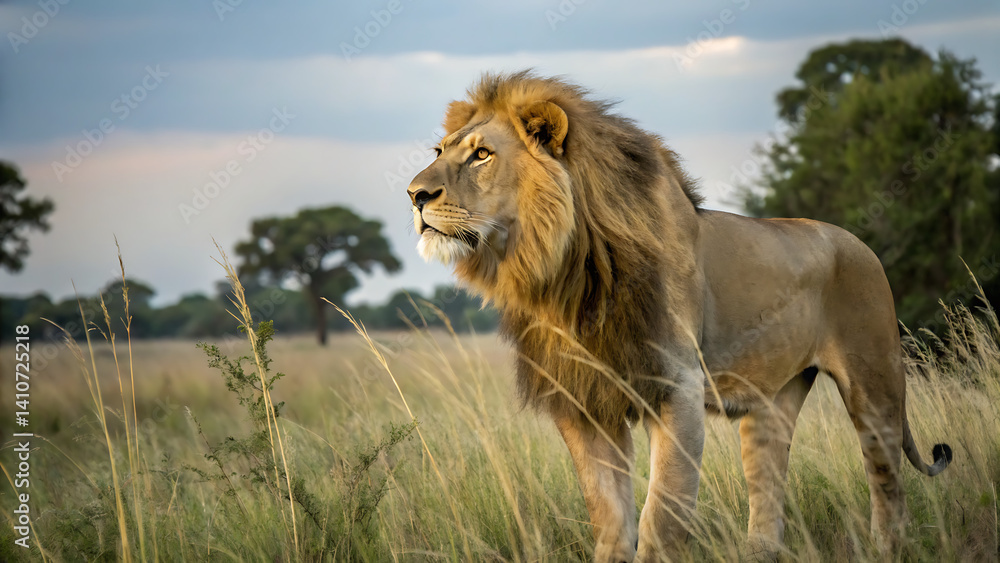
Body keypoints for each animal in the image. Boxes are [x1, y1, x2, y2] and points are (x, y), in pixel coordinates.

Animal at [406, 71, 951, 562]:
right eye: (438, 152)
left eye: (482, 154)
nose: (414, 194)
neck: (565, 272)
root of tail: (860, 243)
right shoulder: (582, 400)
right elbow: (608, 514)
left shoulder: (676, 387)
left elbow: (662, 513)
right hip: (772, 402)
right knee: (768, 489)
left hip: (874, 385)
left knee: (887, 483)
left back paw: (888, 548)